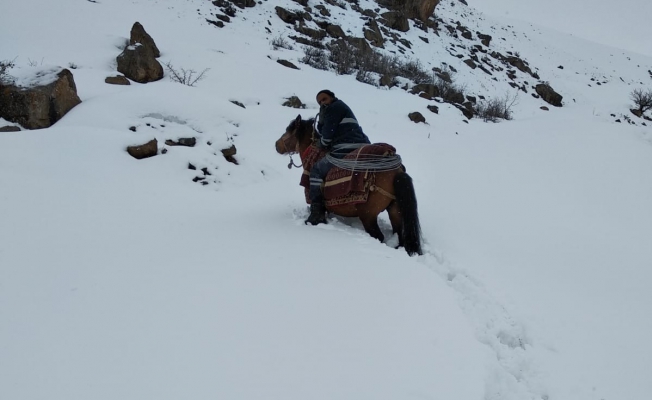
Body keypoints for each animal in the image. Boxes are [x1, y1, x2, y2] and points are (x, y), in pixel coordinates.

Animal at [276, 114, 422, 255]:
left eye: (288, 131)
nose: (277, 145)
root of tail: (396, 171)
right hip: (395, 210)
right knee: (399, 237)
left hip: (368, 216)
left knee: (378, 236)